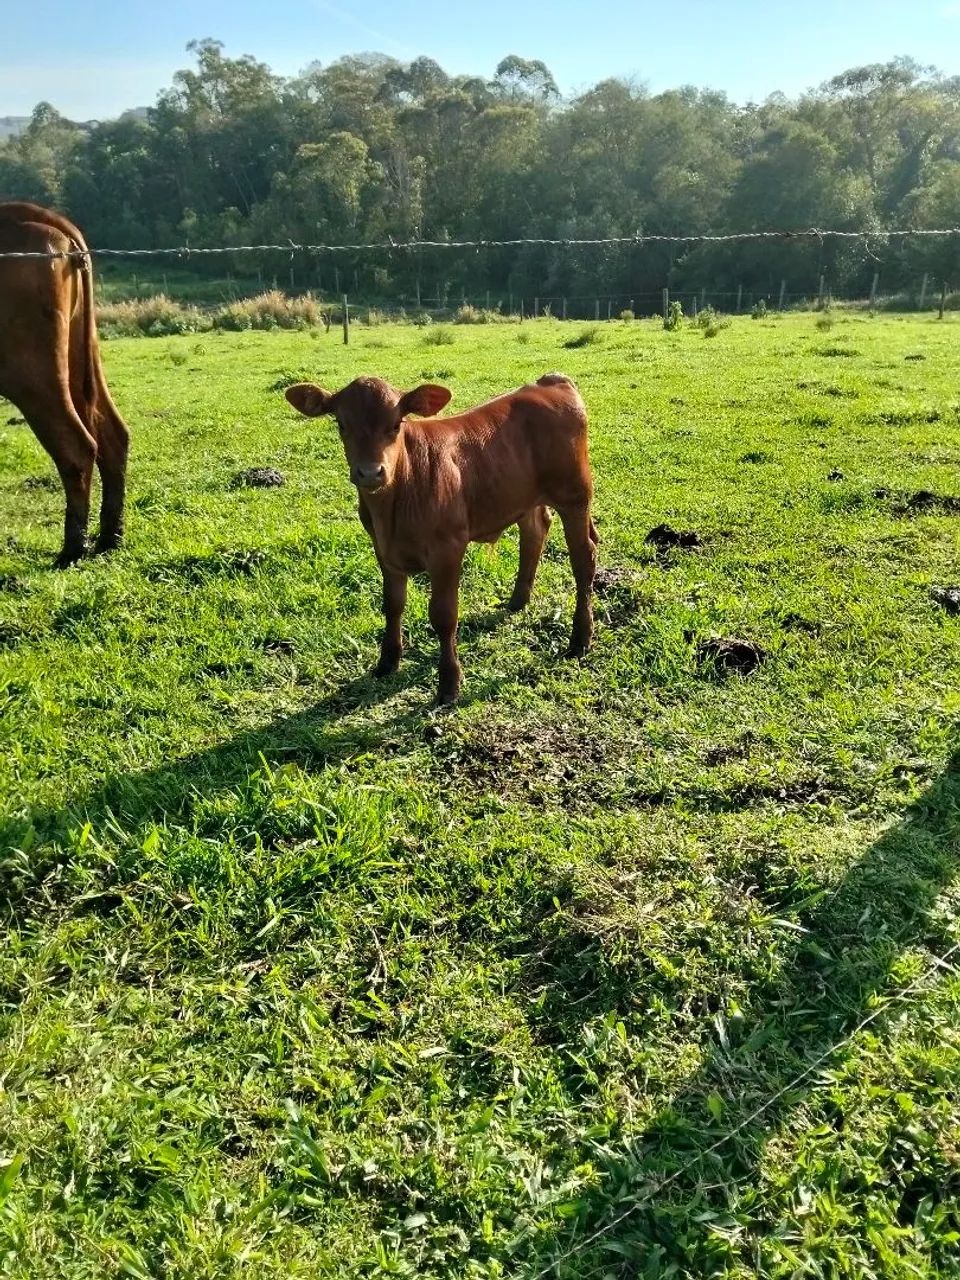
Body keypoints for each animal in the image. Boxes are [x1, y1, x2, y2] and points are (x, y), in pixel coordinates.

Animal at [0, 202, 130, 566]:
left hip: (31, 372)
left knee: (77, 446)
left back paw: (73, 550)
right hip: (80, 355)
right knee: (113, 435)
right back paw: (109, 538)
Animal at [285, 372, 597, 704]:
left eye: (396, 423)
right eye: (342, 424)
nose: (370, 473)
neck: (392, 507)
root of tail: (550, 381)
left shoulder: (447, 549)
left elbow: (444, 615)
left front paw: (449, 684)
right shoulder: (383, 549)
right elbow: (392, 604)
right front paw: (387, 662)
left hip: (575, 496)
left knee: (583, 559)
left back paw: (580, 639)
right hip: (522, 495)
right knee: (535, 531)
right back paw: (517, 601)